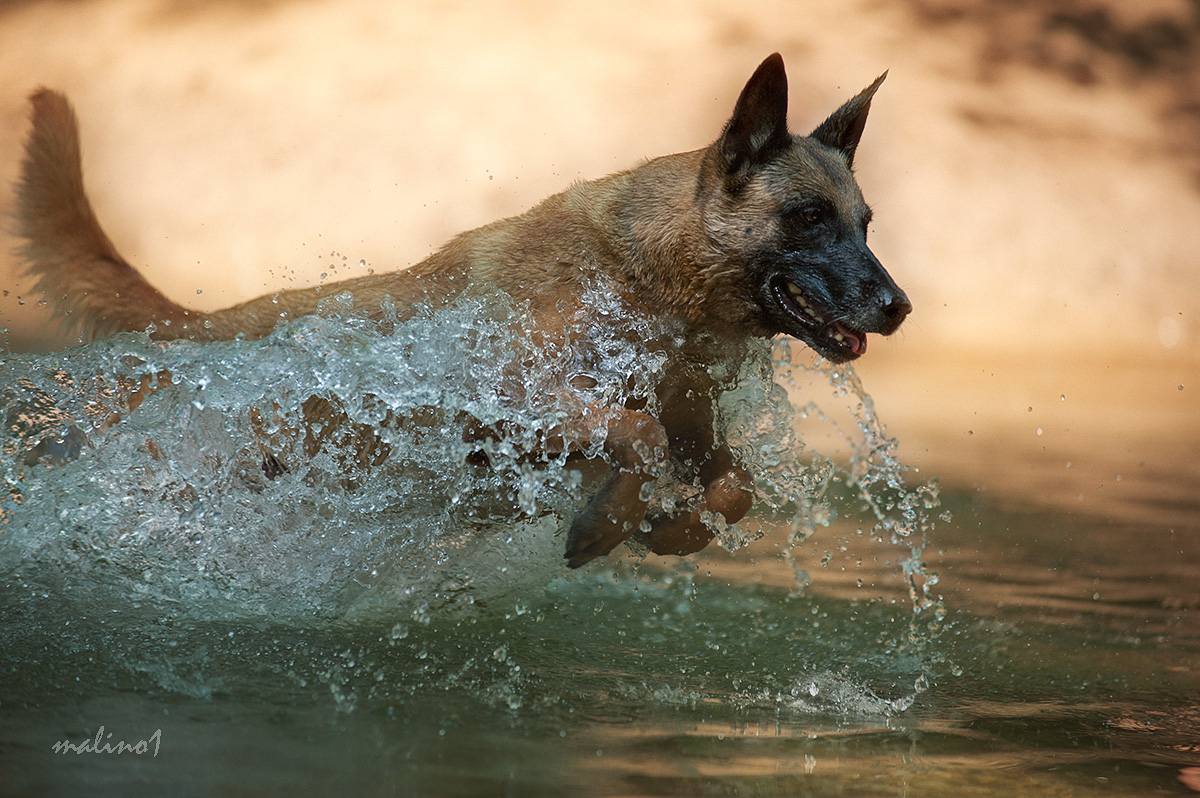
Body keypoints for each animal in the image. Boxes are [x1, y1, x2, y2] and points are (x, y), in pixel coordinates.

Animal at [11, 52, 907, 566]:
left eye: (866, 223)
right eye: (807, 217)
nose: (898, 307)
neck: (647, 280)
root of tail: (194, 329)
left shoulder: (696, 426)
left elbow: (733, 483)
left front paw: (669, 532)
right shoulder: (510, 395)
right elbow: (634, 432)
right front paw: (603, 526)